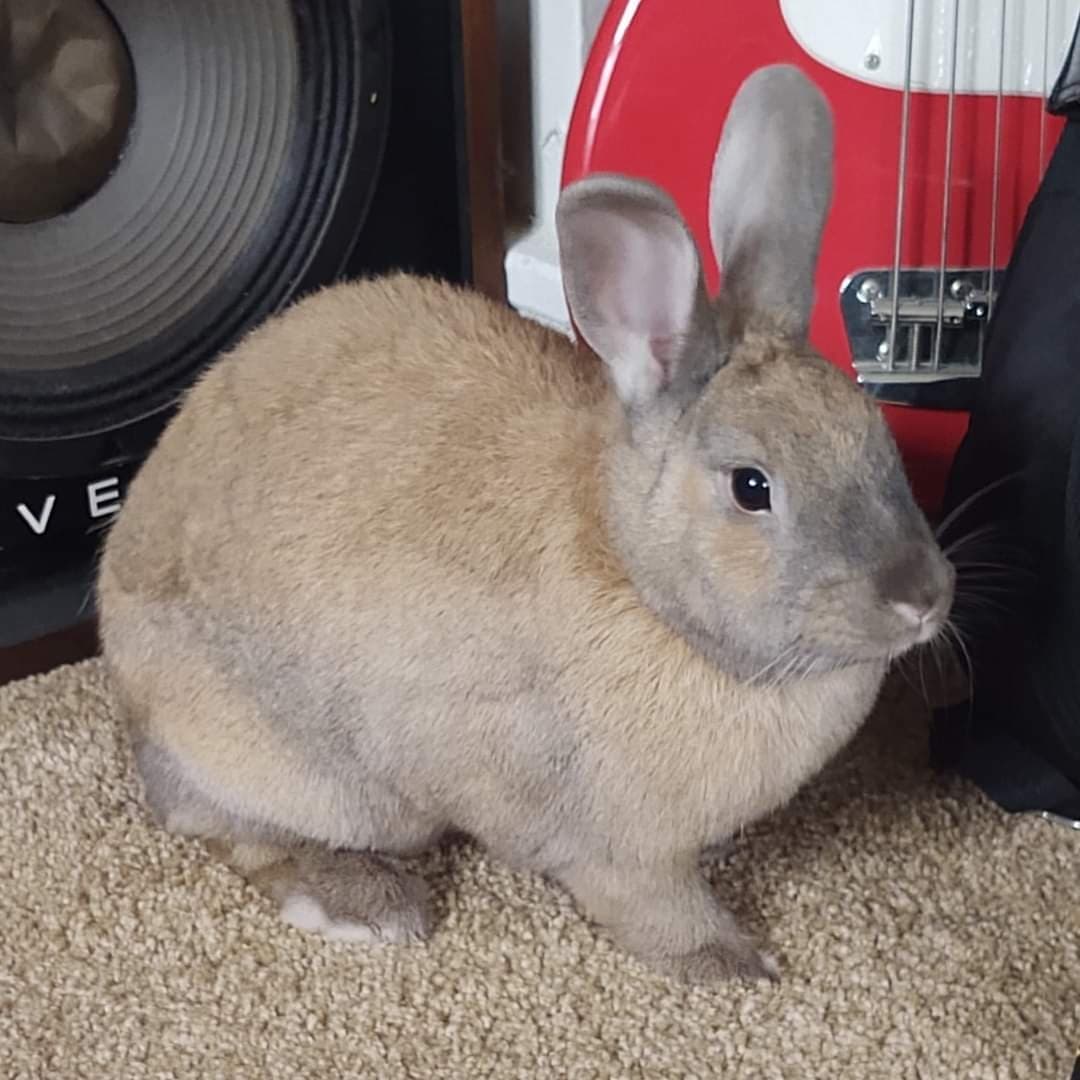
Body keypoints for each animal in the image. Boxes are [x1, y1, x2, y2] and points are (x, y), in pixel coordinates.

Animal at [95, 63, 954, 984]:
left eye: (878, 433)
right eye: (751, 487)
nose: (924, 598)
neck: (643, 588)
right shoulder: (618, 848)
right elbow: (653, 905)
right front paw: (731, 962)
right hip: (314, 779)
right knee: (227, 830)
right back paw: (364, 903)